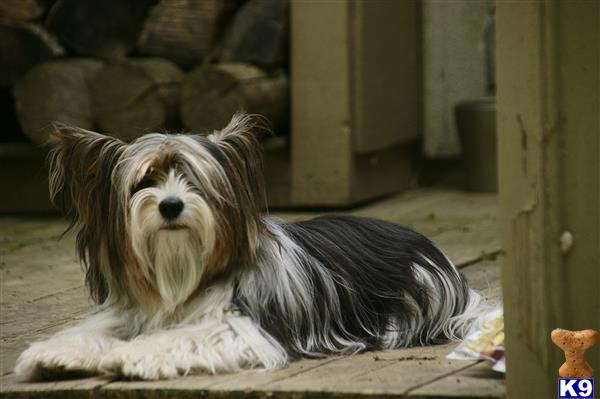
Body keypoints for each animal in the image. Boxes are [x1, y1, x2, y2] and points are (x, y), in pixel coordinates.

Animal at [15, 115, 488, 382]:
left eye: (195, 182)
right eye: (143, 182)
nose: (170, 204)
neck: (183, 269)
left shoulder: (243, 327)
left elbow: (185, 337)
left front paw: (134, 355)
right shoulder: (131, 310)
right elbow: (95, 331)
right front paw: (54, 354)